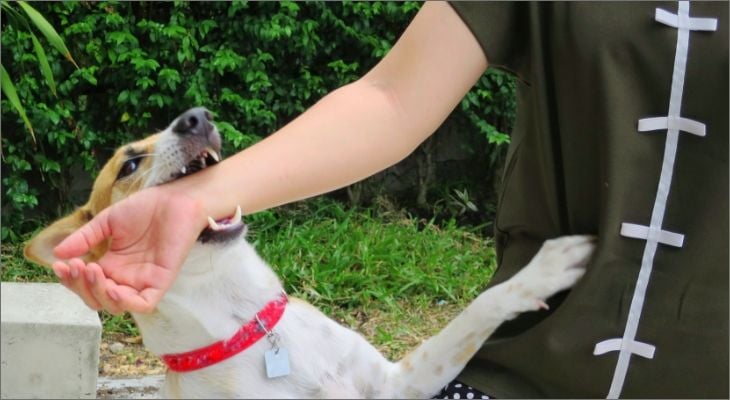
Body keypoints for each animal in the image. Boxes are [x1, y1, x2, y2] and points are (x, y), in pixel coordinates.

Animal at [25, 108, 596, 398]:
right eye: (128, 165)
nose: (196, 117)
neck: (247, 328)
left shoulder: (401, 383)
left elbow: (474, 312)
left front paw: (542, 271)